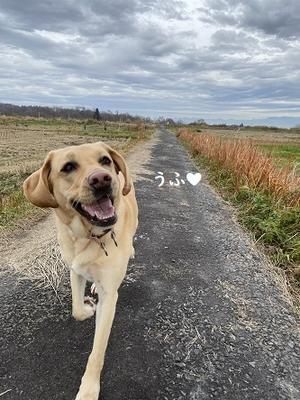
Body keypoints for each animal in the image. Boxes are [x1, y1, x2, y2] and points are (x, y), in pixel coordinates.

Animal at [23, 142, 138, 400]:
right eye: (68, 167)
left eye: (105, 160)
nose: (102, 179)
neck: (88, 238)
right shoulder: (74, 269)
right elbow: (76, 309)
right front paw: (86, 308)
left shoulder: (110, 297)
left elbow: (97, 352)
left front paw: (88, 389)